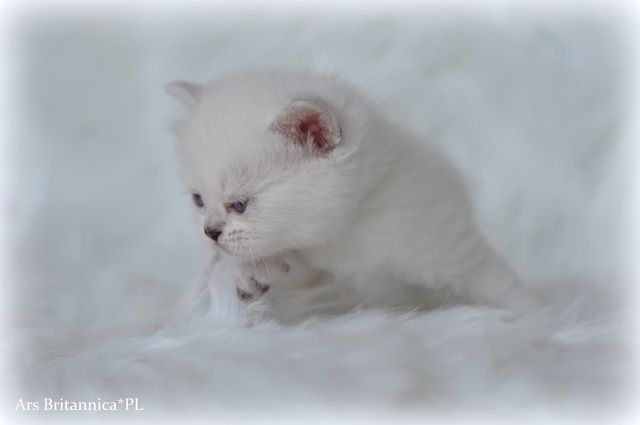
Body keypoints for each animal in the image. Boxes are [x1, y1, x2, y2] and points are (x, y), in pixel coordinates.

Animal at [167, 70, 540, 312]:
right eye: (198, 200)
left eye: (240, 204)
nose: (210, 232)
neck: (345, 232)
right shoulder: (316, 274)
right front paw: (247, 277)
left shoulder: (444, 239)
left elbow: (496, 283)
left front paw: (538, 323)